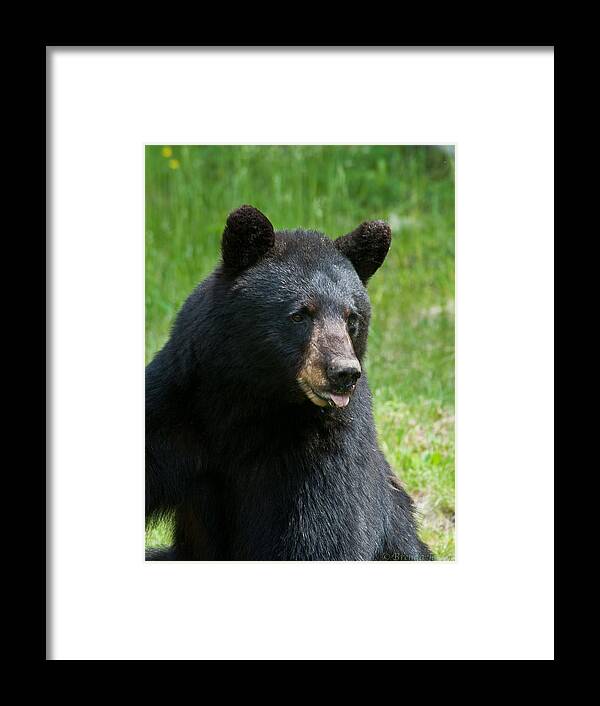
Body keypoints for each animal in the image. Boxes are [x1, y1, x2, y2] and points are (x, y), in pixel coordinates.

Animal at [146, 205, 436, 560]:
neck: (251, 401)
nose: (343, 373)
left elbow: (322, 537)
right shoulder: (179, 408)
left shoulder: (325, 449)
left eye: (352, 318)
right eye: (299, 315)